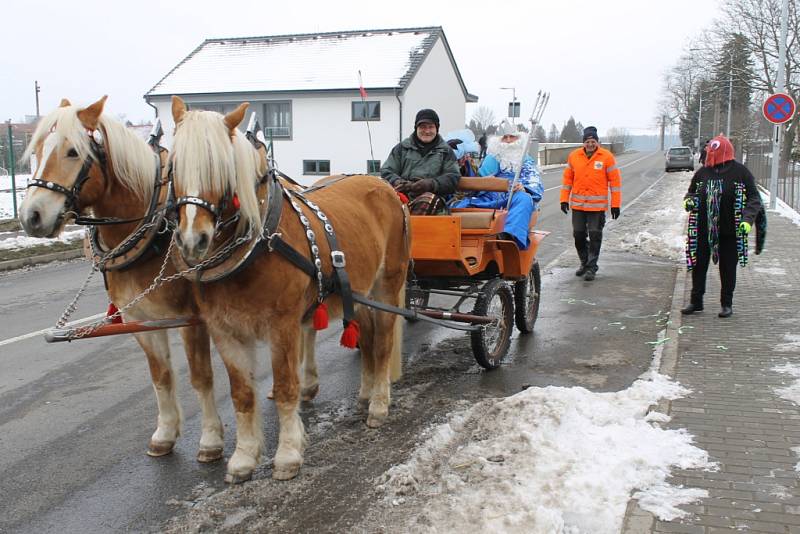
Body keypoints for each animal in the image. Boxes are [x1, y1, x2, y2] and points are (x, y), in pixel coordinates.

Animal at [18, 97, 225, 464]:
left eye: (73, 151)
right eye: (37, 149)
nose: (32, 216)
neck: (156, 232)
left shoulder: (191, 319)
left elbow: (201, 377)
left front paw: (211, 440)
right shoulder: (138, 319)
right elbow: (161, 377)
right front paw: (164, 434)